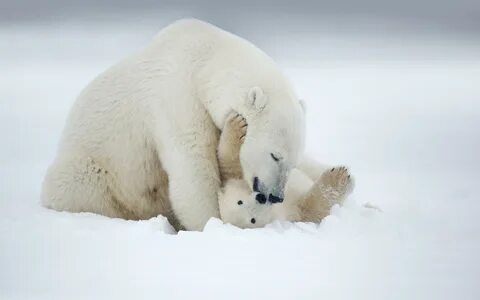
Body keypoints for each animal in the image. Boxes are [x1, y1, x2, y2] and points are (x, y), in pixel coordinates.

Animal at [44, 18, 308, 231]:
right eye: (275, 155)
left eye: (293, 161)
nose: (276, 196)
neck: (205, 60)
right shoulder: (177, 97)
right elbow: (193, 165)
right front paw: (213, 223)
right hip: (92, 170)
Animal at [217, 112, 352, 227]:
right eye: (252, 220)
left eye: (239, 201)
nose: (261, 198)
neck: (278, 207)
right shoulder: (293, 214)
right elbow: (312, 209)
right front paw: (339, 177)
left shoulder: (236, 176)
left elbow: (229, 161)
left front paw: (237, 124)